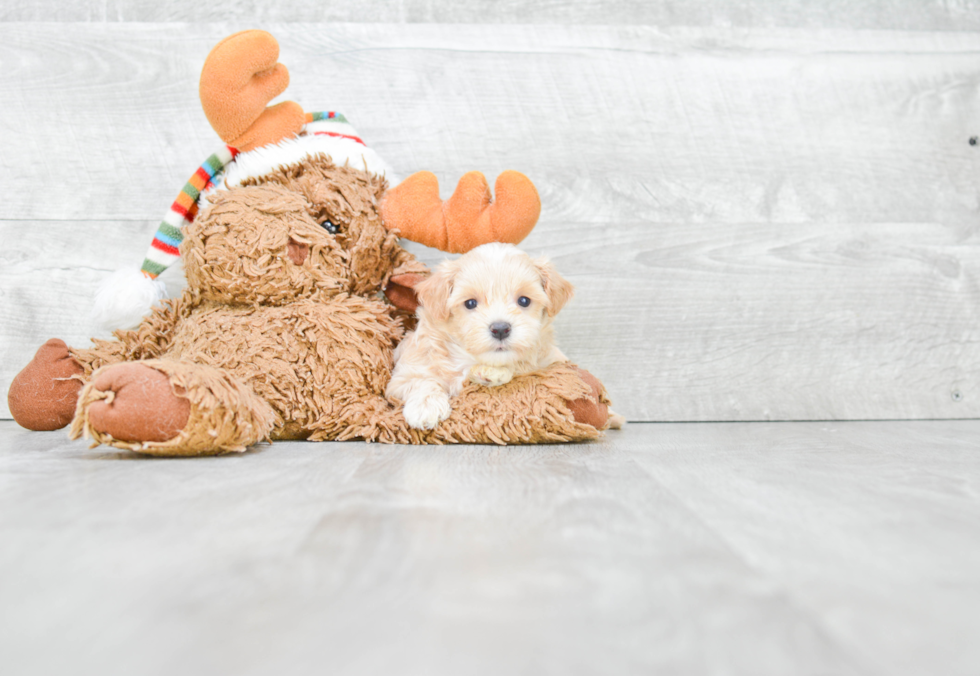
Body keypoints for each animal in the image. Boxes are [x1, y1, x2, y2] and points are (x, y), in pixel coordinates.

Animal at [386, 243, 576, 430]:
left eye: (524, 301)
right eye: (470, 303)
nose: (500, 329)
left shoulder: (553, 363)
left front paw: (493, 374)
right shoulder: (403, 375)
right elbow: (421, 380)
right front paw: (426, 407)